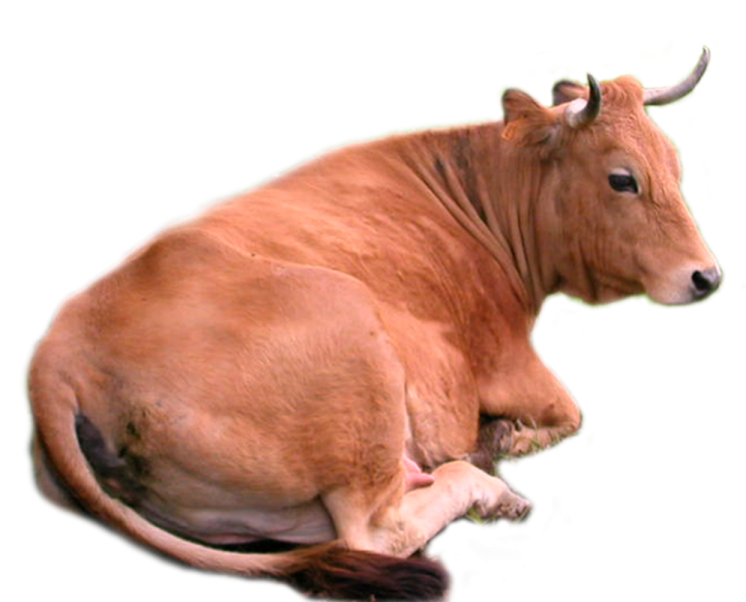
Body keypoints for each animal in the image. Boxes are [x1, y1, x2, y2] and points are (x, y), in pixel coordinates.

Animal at [26, 46, 720, 601]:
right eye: (622, 178)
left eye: (678, 168)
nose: (707, 276)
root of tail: (57, 350)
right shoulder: (509, 363)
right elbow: (571, 414)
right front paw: (505, 440)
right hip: (353, 346)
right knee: (374, 530)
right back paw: (492, 484)